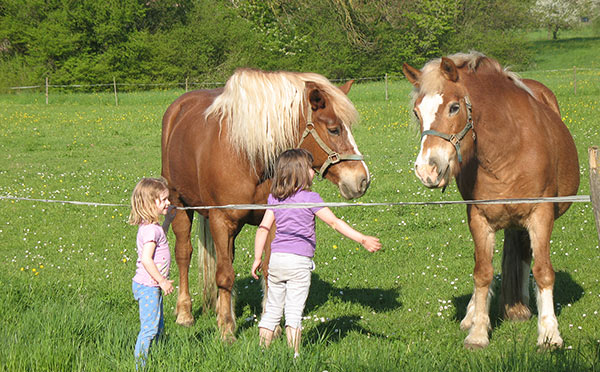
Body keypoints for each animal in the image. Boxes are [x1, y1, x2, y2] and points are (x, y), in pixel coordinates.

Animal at [161, 67, 370, 340]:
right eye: (334, 129)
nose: (362, 180)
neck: (248, 156)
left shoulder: (271, 220)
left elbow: (270, 270)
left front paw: (273, 327)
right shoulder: (220, 220)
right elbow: (224, 275)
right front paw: (226, 330)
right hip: (179, 205)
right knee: (184, 254)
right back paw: (185, 313)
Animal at [400, 52, 580, 348]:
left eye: (454, 107)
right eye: (417, 112)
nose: (427, 170)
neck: (507, 148)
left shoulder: (540, 216)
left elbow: (543, 271)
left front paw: (549, 333)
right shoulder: (479, 218)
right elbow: (482, 272)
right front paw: (478, 332)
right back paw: (476, 314)